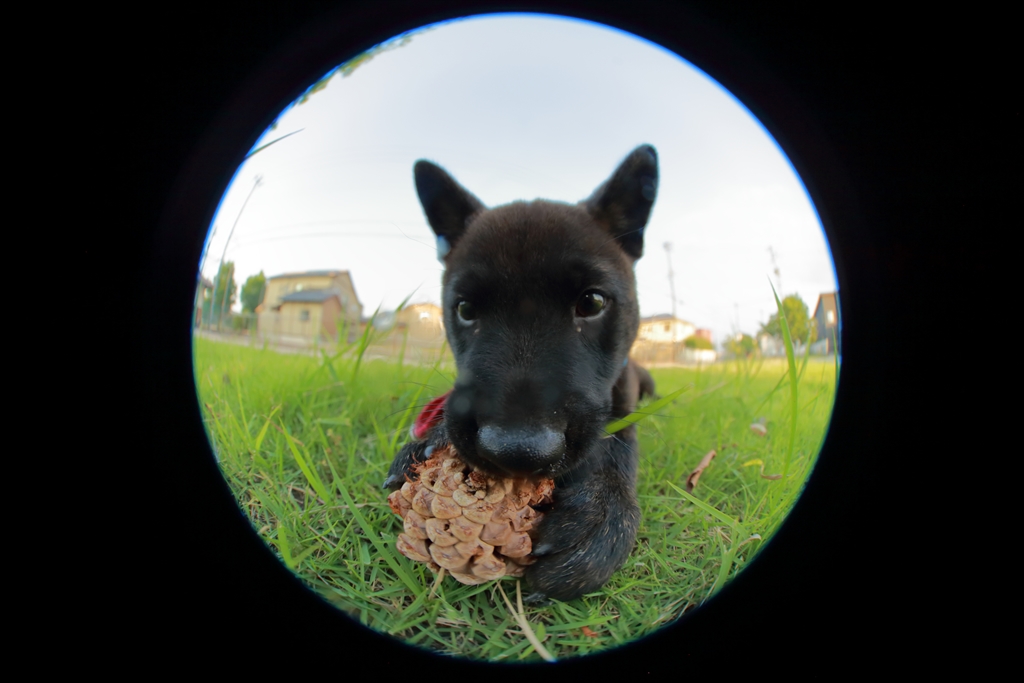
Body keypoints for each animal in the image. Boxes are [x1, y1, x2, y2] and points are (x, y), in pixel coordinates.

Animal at [382, 147, 655, 602]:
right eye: (465, 309)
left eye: (592, 302)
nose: (517, 451)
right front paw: (432, 434)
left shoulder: (621, 392)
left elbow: (619, 436)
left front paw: (603, 505)